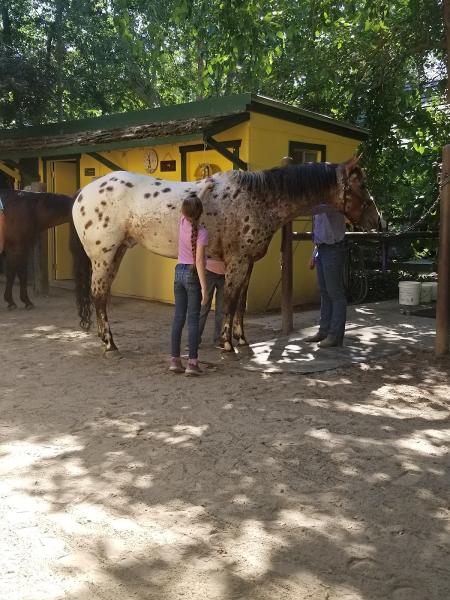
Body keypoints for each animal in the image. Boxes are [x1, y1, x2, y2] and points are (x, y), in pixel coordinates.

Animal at [70, 157, 380, 354]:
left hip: (116, 253)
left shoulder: (247, 263)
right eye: (362, 185)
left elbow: (240, 302)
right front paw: (227, 344)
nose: (378, 220)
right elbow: (230, 301)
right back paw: (110, 344)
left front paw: (240, 339)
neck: (257, 199)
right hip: (103, 256)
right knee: (99, 296)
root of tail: (82, 193)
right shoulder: (238, 262)